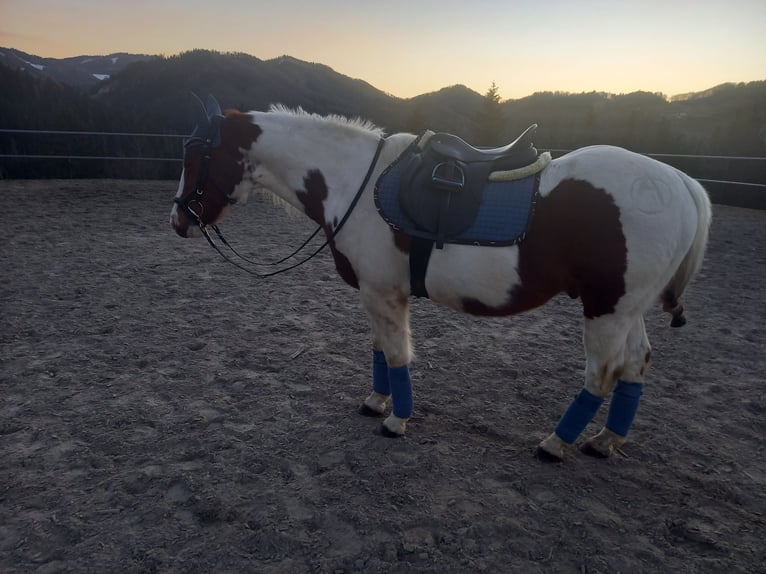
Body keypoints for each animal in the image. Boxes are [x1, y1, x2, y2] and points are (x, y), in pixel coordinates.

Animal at [170, 96, 711, 461]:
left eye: (196, 158)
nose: (178, 220)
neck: (352, 180)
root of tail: (680, 183)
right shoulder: (376, 293)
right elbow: (379, 351)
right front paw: (376, 401)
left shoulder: (384, 293)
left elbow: (396, 355)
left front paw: (396, 420)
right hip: (626, 307)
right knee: (635, 365)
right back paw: (604, 441)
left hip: (606, 309)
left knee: (601, 373)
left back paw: (556, 443)